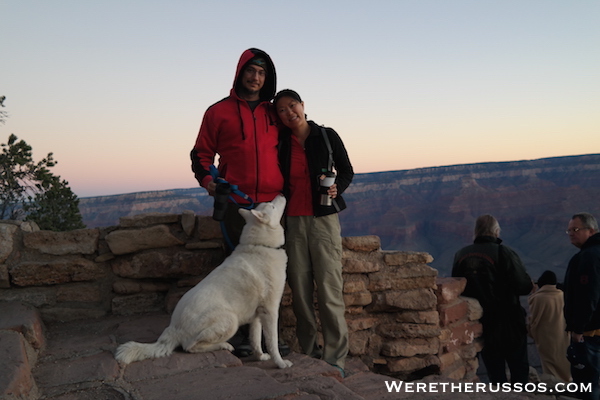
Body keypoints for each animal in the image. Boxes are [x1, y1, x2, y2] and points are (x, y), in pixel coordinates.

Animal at [115, 195, 292, 368]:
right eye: (272, 206)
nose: (282, 194)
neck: (262, 245)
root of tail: (173, 328)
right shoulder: (270, 311)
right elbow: (272, 342)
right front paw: (280, 363)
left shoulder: (257, 316)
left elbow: (256, 341)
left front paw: (260, 357)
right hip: (230, 319)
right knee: (190, 346)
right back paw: (224, 345)